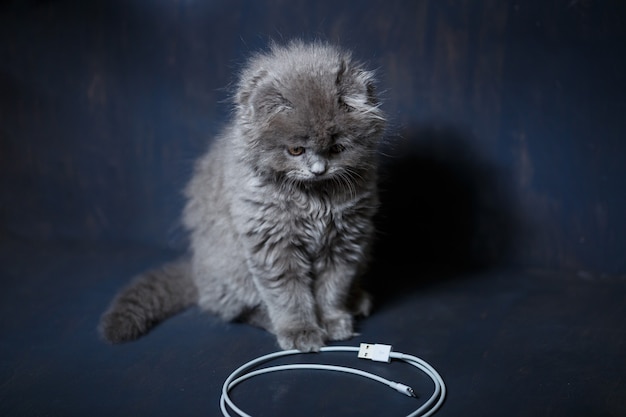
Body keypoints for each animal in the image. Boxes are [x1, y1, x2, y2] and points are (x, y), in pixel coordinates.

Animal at [99, 39, 382, 352]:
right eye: (296, 150)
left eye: (336, 149)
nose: (318, 170)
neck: (314, 199)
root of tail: (197, 272)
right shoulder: (273, 244)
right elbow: (289, 294)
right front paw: (301, 331)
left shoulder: (345, 241)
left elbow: (333, 288)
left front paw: (333, 321)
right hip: (230, 268)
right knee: (233, 309)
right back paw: (269, 320)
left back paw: (357, 300)